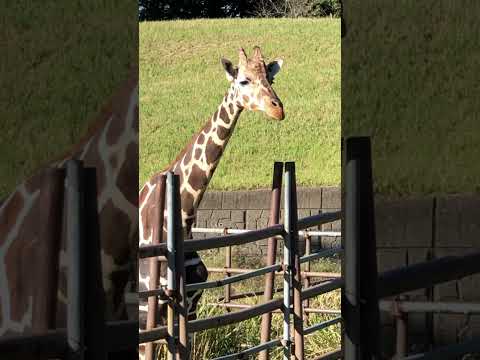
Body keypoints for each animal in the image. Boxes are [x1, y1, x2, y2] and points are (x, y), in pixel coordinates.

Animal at [137, 45, 284, 358]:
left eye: (270, 78)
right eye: (243, 80)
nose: (278, 109)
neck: (182, 218)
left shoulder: (190, 307)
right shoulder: (146, 311)